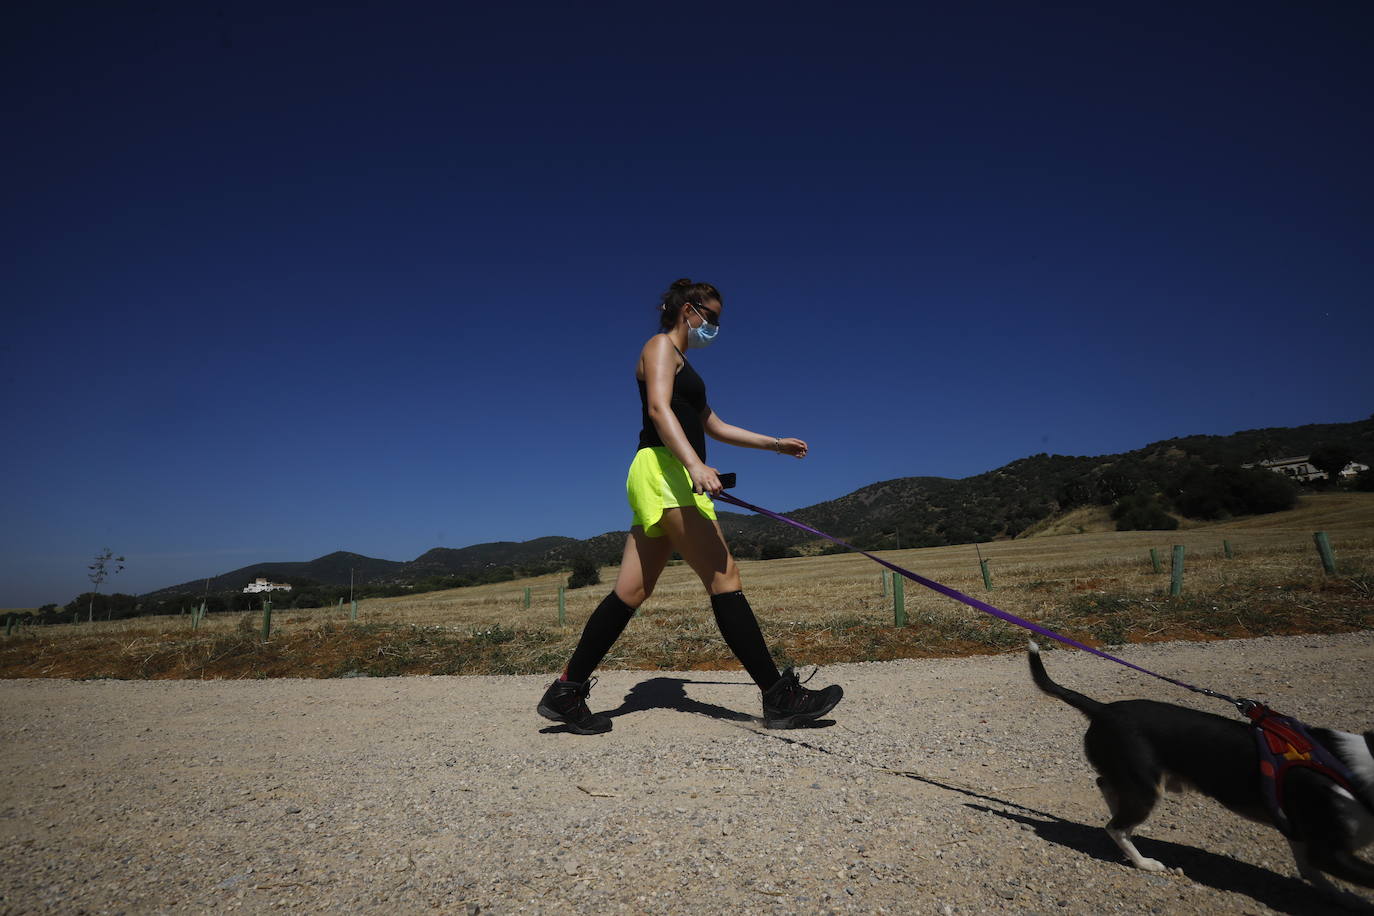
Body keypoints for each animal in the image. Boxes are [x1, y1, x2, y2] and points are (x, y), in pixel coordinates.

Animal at [1027, 642, 1374, 889]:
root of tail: (1102, 709)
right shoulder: (1328, 850)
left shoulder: (1301, 833)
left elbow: (1310, 869)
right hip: (1145, 787)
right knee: (1116, 827)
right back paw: (1145, 862)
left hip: (1132, 778)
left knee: (1106, 790)